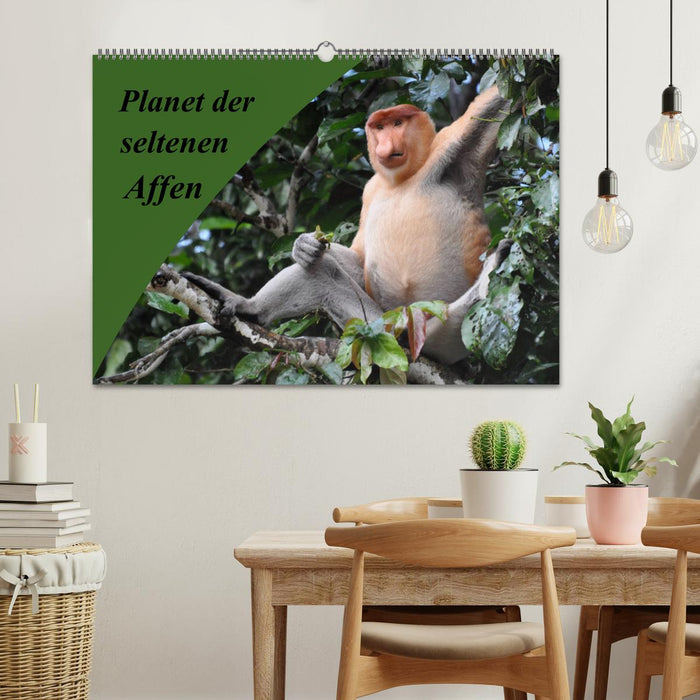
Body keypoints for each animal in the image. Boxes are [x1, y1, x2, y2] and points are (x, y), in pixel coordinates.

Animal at [184, 85, 511, 366]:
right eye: (379, 128)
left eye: (397, 123)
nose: (385, 144)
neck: (404, 179)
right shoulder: (370, 189)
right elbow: (359, 258)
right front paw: (303, 246)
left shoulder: (448, 149)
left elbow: (492, 104)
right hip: (380, 326)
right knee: (319, 276)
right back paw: (248, 308)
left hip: (444, 330)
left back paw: (492, 267)